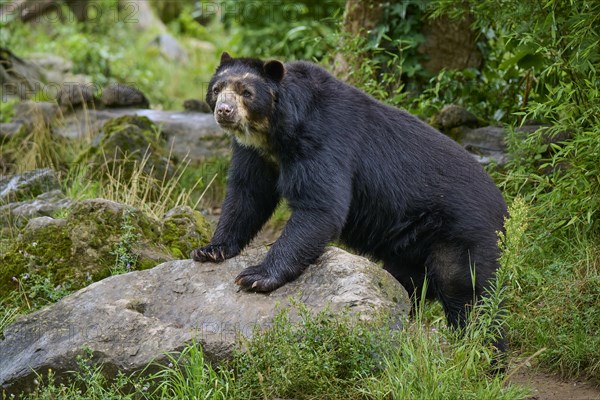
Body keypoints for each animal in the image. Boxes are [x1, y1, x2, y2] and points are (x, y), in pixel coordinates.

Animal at [192, 52, 506, 350]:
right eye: (217, 88)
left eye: (246, 92)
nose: (224, 111)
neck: (274, 133)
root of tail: (503, 208)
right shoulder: (255, 154)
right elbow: (247, 195)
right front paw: (211, 250)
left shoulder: (323, 139)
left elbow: (321, 206)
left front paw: (255, 276)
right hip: (410, 247)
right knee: (407, 284)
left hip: (461, 237)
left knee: (469, 294)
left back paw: (485, 352)